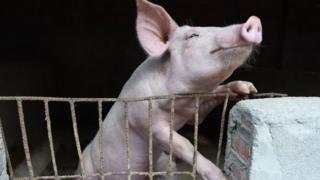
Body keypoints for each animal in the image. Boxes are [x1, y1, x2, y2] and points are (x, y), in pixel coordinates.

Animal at [79, 0, 262, 180]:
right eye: (192, 36)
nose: (253, 20)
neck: (182, 100)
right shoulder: (147, 122)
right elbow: (184, 145)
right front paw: (221, 176)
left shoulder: (196, 108)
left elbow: (209, 103)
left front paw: (247, 88)